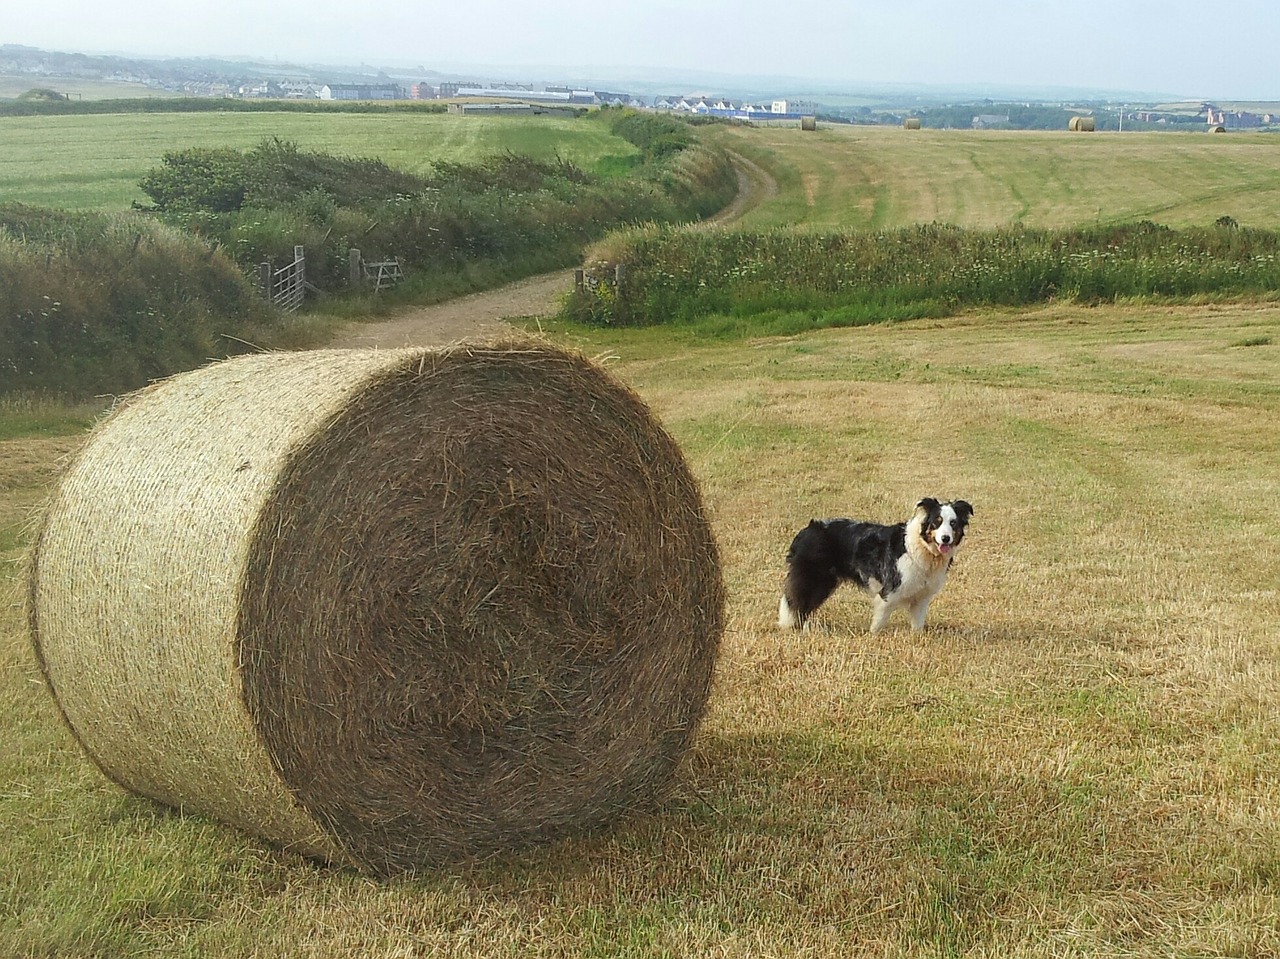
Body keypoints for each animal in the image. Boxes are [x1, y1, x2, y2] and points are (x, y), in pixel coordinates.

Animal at [773, 496, 972, 632]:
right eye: (937, 522)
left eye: (953, 523)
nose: (945, 539)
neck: (923, 547)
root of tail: (807, 530)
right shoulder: (889, 591)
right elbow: (880, 620)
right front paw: (873, 635)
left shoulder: (922, 596)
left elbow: (917, 624)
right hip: (815, 579)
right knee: (796, 602)